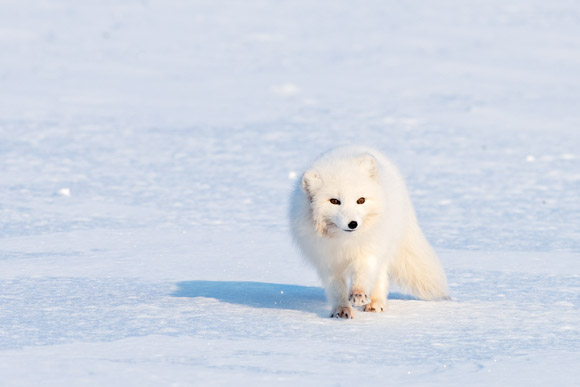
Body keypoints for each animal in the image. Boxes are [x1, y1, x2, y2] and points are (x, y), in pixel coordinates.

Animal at [290, 147, 448, 320]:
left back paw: (375, 303)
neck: (346, 242)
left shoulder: (368, 251)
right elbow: (336, 289)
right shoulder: (327, 261)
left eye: (361, 200)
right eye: (334, 201)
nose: (353, 224)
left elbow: (363, 273)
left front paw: (358, 295)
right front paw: (341, 310)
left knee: (380, 277)